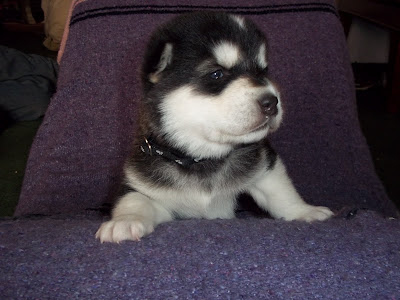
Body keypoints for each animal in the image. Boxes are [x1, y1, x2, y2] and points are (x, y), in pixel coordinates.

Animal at [95, 11, 332, 244]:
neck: (202, 158)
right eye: (217, 74)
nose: (271, 102)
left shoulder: (265, 162)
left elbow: (281, 192)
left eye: (262, 72)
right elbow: (135, 199)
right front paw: (124, 222)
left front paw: (304, 211)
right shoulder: (143, 185)